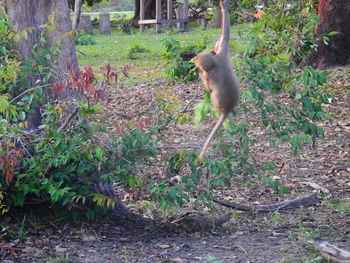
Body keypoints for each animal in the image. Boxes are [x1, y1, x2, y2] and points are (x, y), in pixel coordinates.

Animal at [194, 0, 241, 161]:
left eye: (198, 64)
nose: (196, 65)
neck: (215, 63)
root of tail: (228, 109)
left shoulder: (209, 73)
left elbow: (209, 86)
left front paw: (200, 75)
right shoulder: (222, 53)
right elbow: (225, 36)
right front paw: (224, 7)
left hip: (218, 103)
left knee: (213, 94)